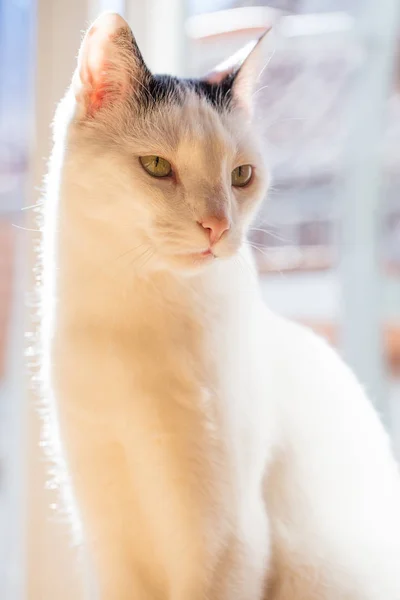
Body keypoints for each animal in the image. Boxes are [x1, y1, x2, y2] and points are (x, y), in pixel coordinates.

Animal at [39, 10, 400, 600]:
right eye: (156, 165)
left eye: (241, 176)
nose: (218, 226)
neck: (133, 319)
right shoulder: (106, 530)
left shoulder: (226, 537)